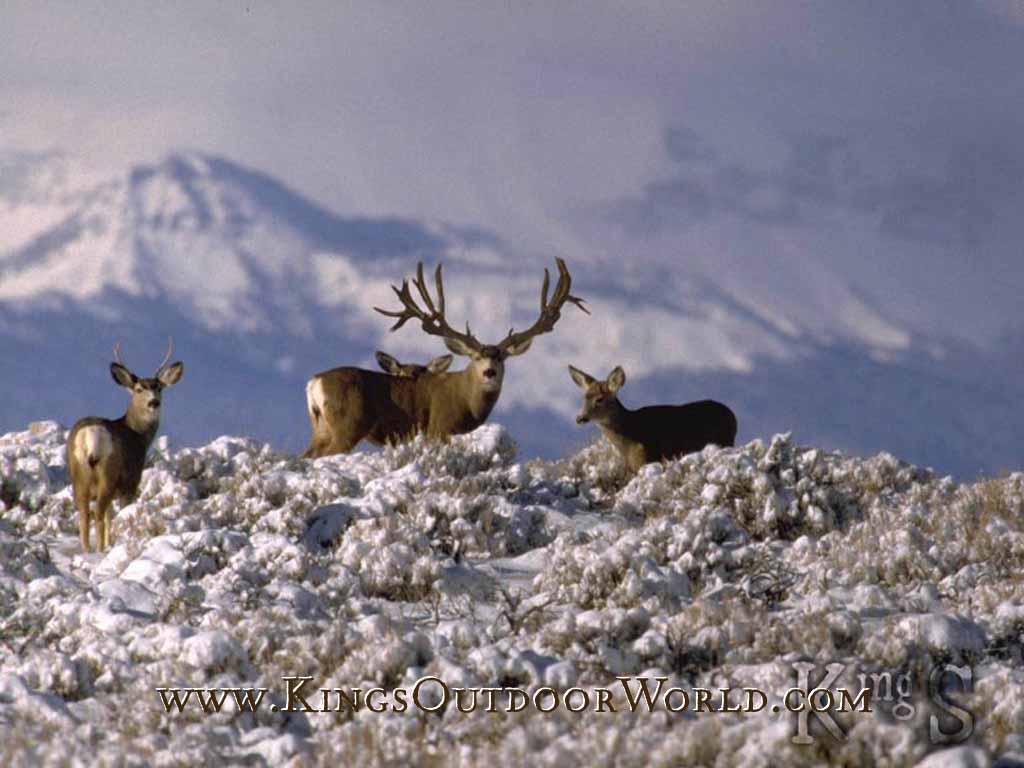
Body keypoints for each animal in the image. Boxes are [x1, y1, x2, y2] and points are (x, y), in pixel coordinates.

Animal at [66, 340, 184, 552]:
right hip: (108, 474)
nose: (154, 403)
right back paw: (99, 551)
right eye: (139, 389)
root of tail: (90, 435)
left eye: (159, 388)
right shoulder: (131, 483)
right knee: (97, 514)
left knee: (85, 515)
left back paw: (87, 550)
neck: (138, 434)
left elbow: (109, 518)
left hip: (78, 474)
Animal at [303, 259, 588, 458]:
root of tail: (314, 382)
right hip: (348, 423)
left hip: (321, 427)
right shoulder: (439, 428)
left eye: (502, 358)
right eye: (475, 357)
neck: (465, 400)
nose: (490, 372)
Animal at [568, 364, 737, 474]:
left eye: (600, 399)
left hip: (725, 441)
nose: (579, 418)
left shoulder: (648, 460)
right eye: (584, 397)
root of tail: (732, 415)